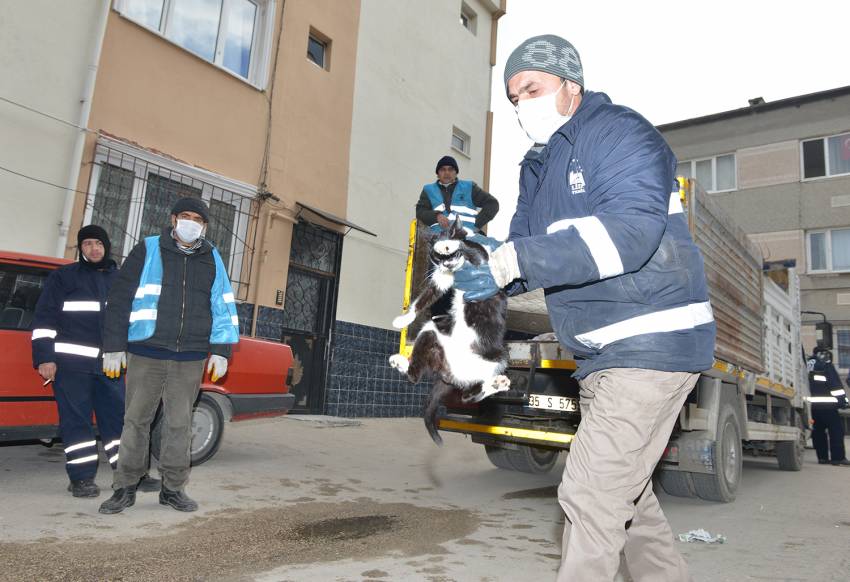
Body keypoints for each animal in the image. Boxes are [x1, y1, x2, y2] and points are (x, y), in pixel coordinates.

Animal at [386, 220, 510, 448]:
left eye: (450, 255)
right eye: (437, 259)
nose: (447, 263)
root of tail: (449, 374)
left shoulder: (484, 262)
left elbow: (476, 250)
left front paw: (454, 242)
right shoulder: (440, 279)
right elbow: (424, 299)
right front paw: (403, 319)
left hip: (499, 358)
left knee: (467, 395)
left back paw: (497, 383)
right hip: (430, 333)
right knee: (418, 378)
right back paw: (400, 362)